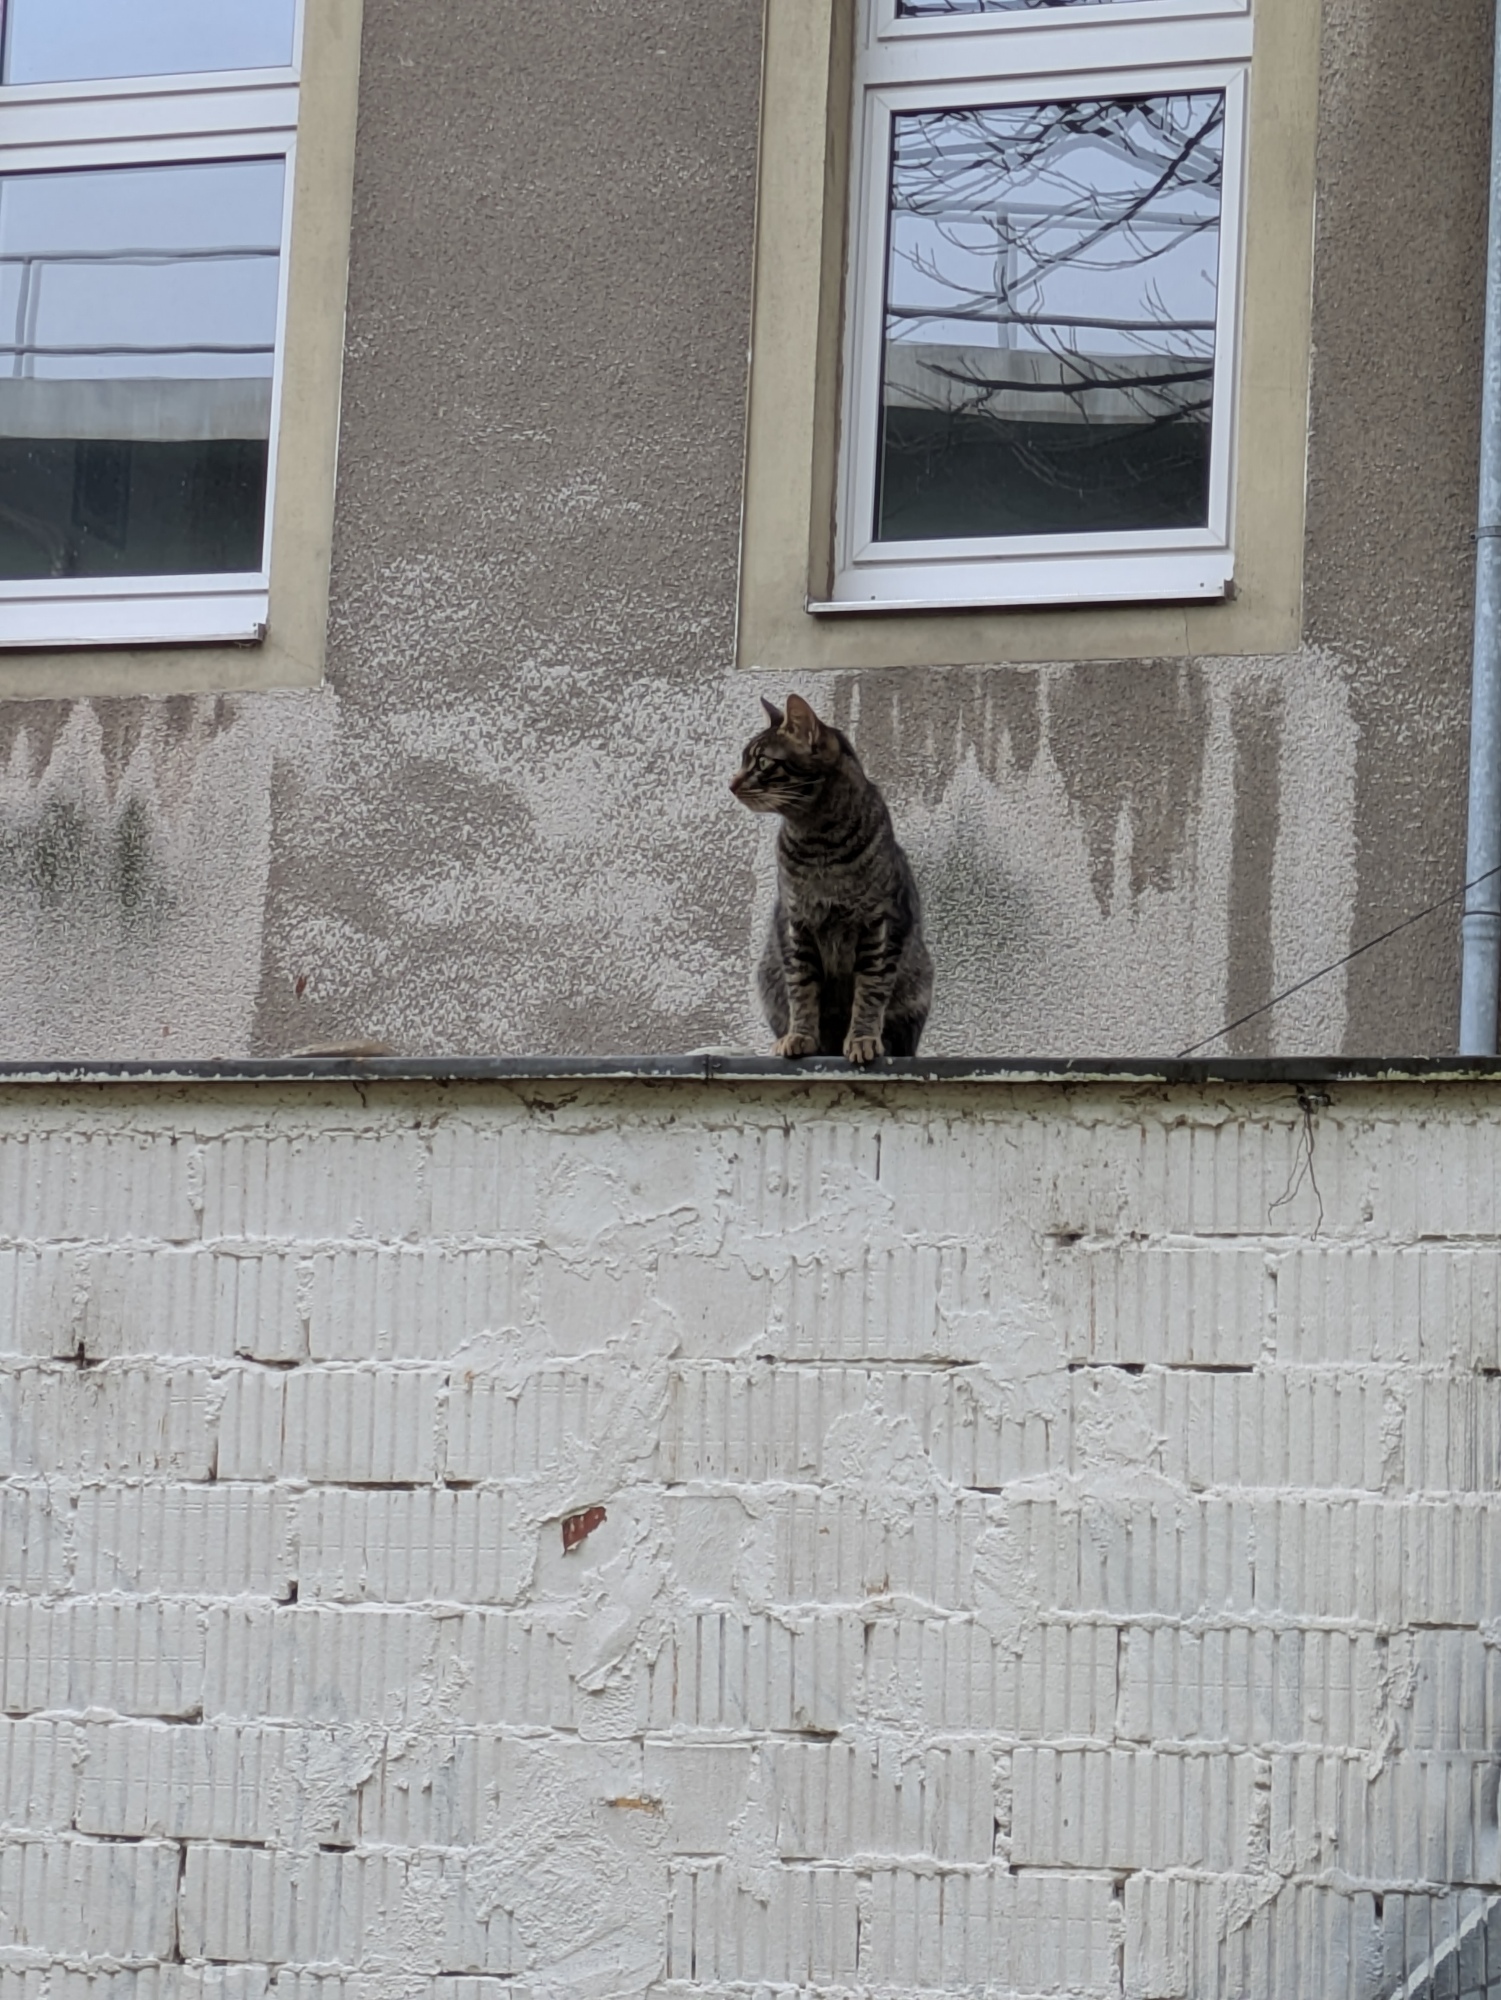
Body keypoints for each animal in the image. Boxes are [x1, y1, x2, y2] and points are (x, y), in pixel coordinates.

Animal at [730, 692, 933, 1064]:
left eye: (762, 762)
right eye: (743, 760)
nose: (731, 783)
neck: (820, 844)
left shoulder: (880, 923)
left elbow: (871, 990)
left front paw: (863, 1039)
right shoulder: (796, 923)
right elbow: (802, 990)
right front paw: (799, 1037)